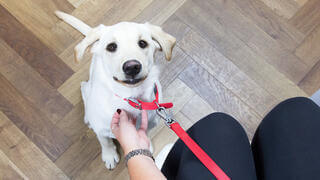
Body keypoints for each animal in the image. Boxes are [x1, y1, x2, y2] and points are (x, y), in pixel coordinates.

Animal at [55, 10, 175, 169]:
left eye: (143, 43)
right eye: (111, 46)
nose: (132, 67)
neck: (131, 98)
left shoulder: (149, 123)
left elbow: (144, 132)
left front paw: (145, 144)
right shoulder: (101, 129)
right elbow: (105, 141)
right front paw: (109, 155)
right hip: (88, 89)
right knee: (84, 90)